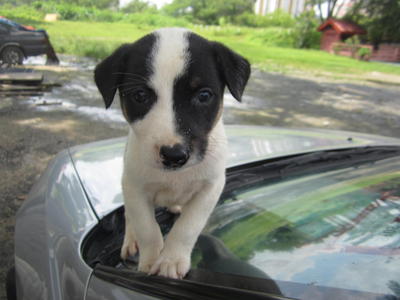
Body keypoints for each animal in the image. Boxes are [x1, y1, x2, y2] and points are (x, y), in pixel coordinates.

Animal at [94, 28, 250, 278]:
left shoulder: (211, 187)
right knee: (130, 217)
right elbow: (147, 227)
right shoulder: (135, 187)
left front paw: (171, 260)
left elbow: (187, 226)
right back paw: (131, 240)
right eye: (140, 96)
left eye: (204, 96)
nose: (174, 155)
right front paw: (150, 260)